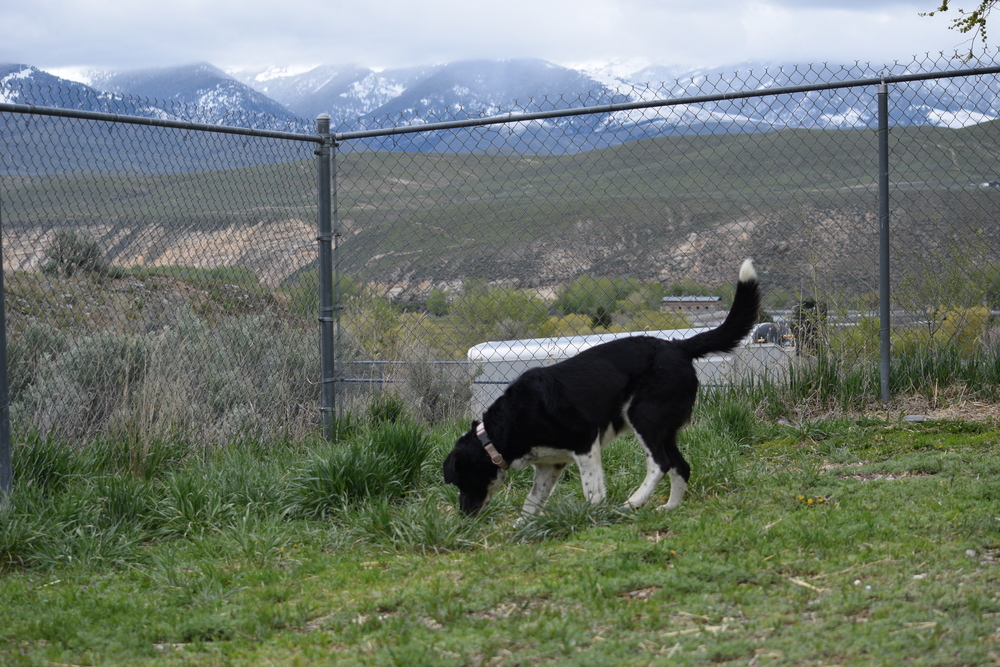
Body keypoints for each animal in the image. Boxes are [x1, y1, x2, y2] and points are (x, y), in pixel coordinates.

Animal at [442, 260, 760, 516]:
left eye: (461, 480)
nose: (464, 516)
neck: (498, 433)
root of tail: (678, 346)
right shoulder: (549, 465)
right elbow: (531, 503)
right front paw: (524, 529)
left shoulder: (585, 442)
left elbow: (592, 491)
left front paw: (591, 517)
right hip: (665, 427)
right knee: (681, 466)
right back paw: (669, 507)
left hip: (643, 416)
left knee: (661, 464)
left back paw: (633, 503)